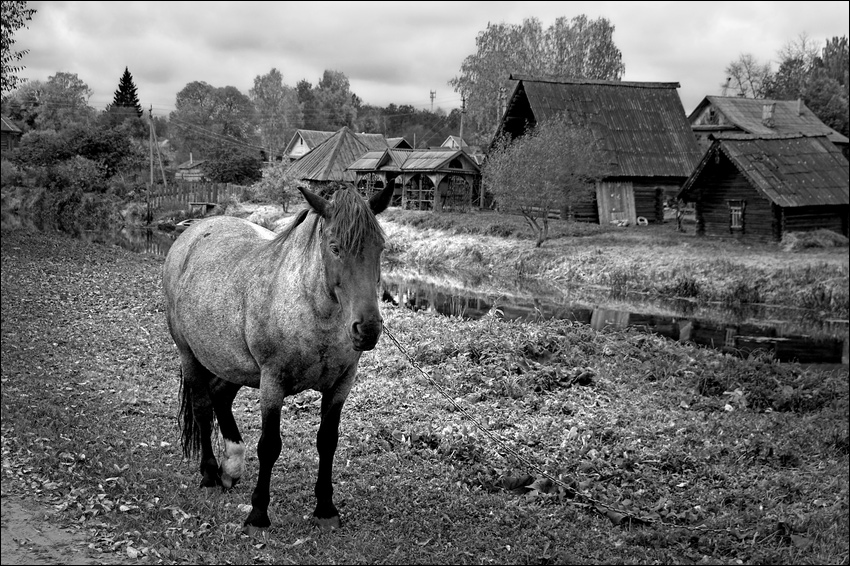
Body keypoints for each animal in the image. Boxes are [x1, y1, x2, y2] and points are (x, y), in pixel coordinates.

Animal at [161, 184, 394, 536]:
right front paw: (258, 514)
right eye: (335, 248)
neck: (312, 312)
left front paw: (325, 509)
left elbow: (327, 441)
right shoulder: (272, 383)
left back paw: (231, 465)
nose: (367, 329)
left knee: (219, 397)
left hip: (233, 364)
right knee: (202, 407)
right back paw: (210, 473)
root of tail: (194, 230)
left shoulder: (340, 385)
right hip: (190, 355)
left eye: (380, 247)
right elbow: (269, 446)